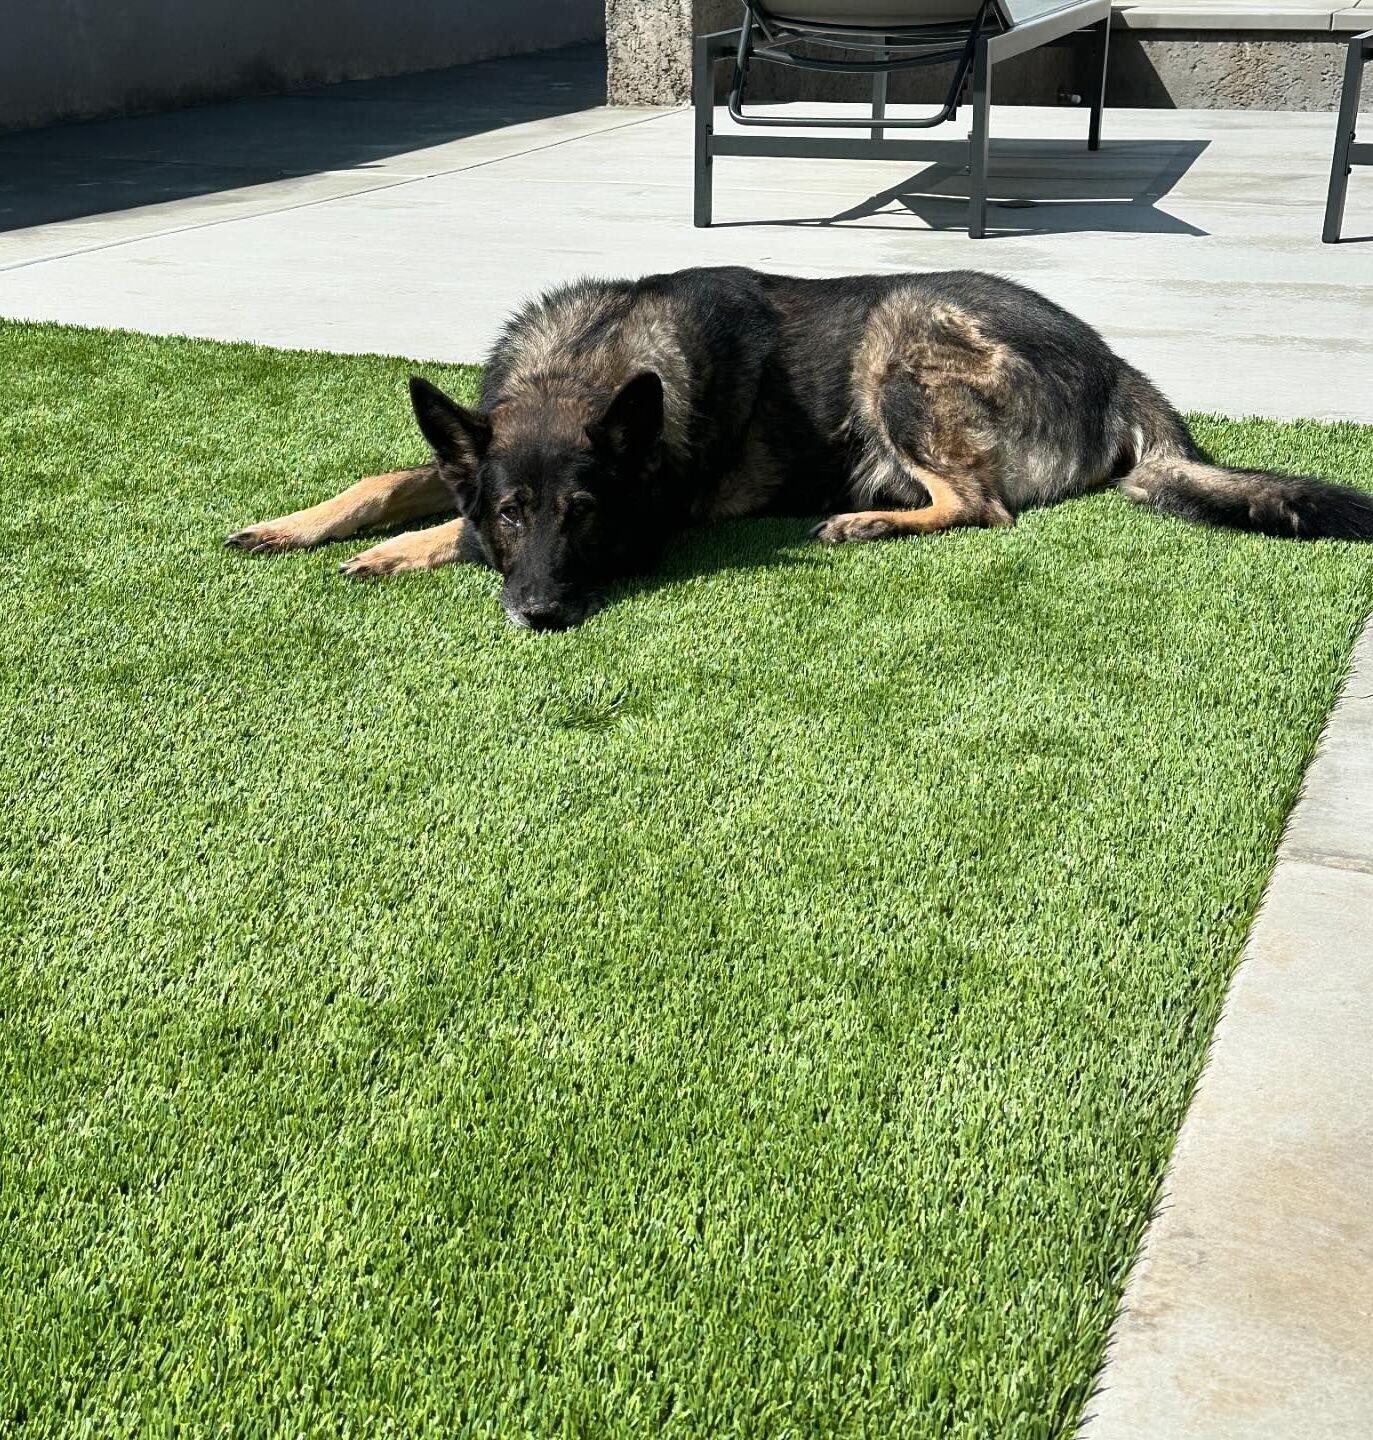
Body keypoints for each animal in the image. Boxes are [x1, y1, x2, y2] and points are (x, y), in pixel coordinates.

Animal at [227, 267, 1371, 627]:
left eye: (584, 517)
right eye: (516, 510)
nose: (542, 613)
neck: (588, 366)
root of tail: (1114, 362)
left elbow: (441, 534)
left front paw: (391, 555)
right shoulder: (475, 455)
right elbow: (391, 477)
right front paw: (301, 525)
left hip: (898, 339)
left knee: (980, 508)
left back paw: (863, 519)